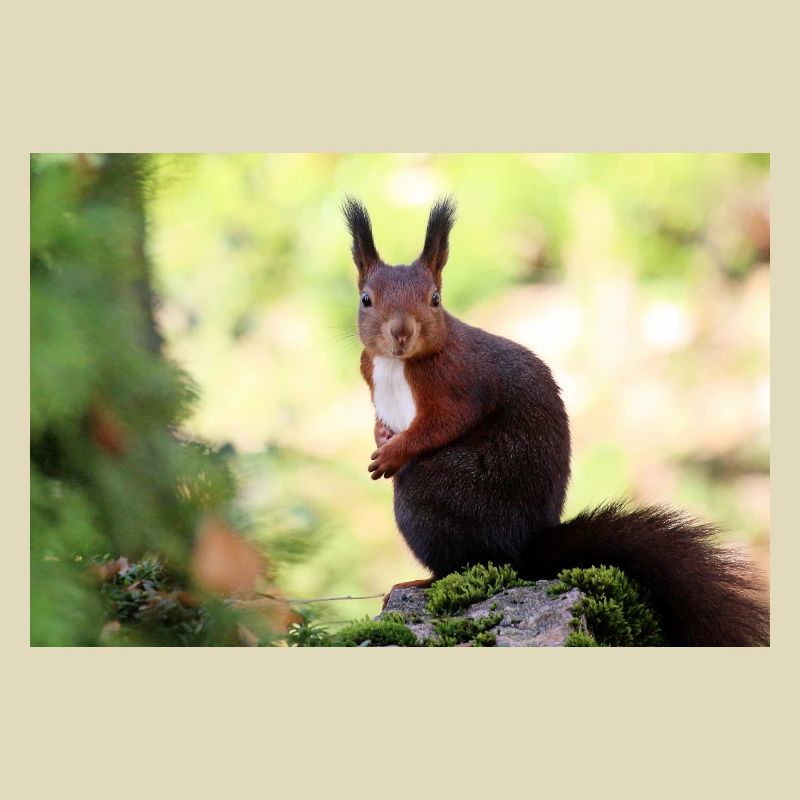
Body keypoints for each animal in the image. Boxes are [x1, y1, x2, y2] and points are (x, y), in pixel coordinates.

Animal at [343, 196, 769, 646]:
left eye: (435, 298)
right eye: (366, 299)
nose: (401, 332)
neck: (398, 364)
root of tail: (522, 549)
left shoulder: (459, 382)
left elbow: (445, 422)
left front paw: (393, 453)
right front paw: (381, 437)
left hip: (430, 495)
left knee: (462, 561)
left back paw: (420, 581)